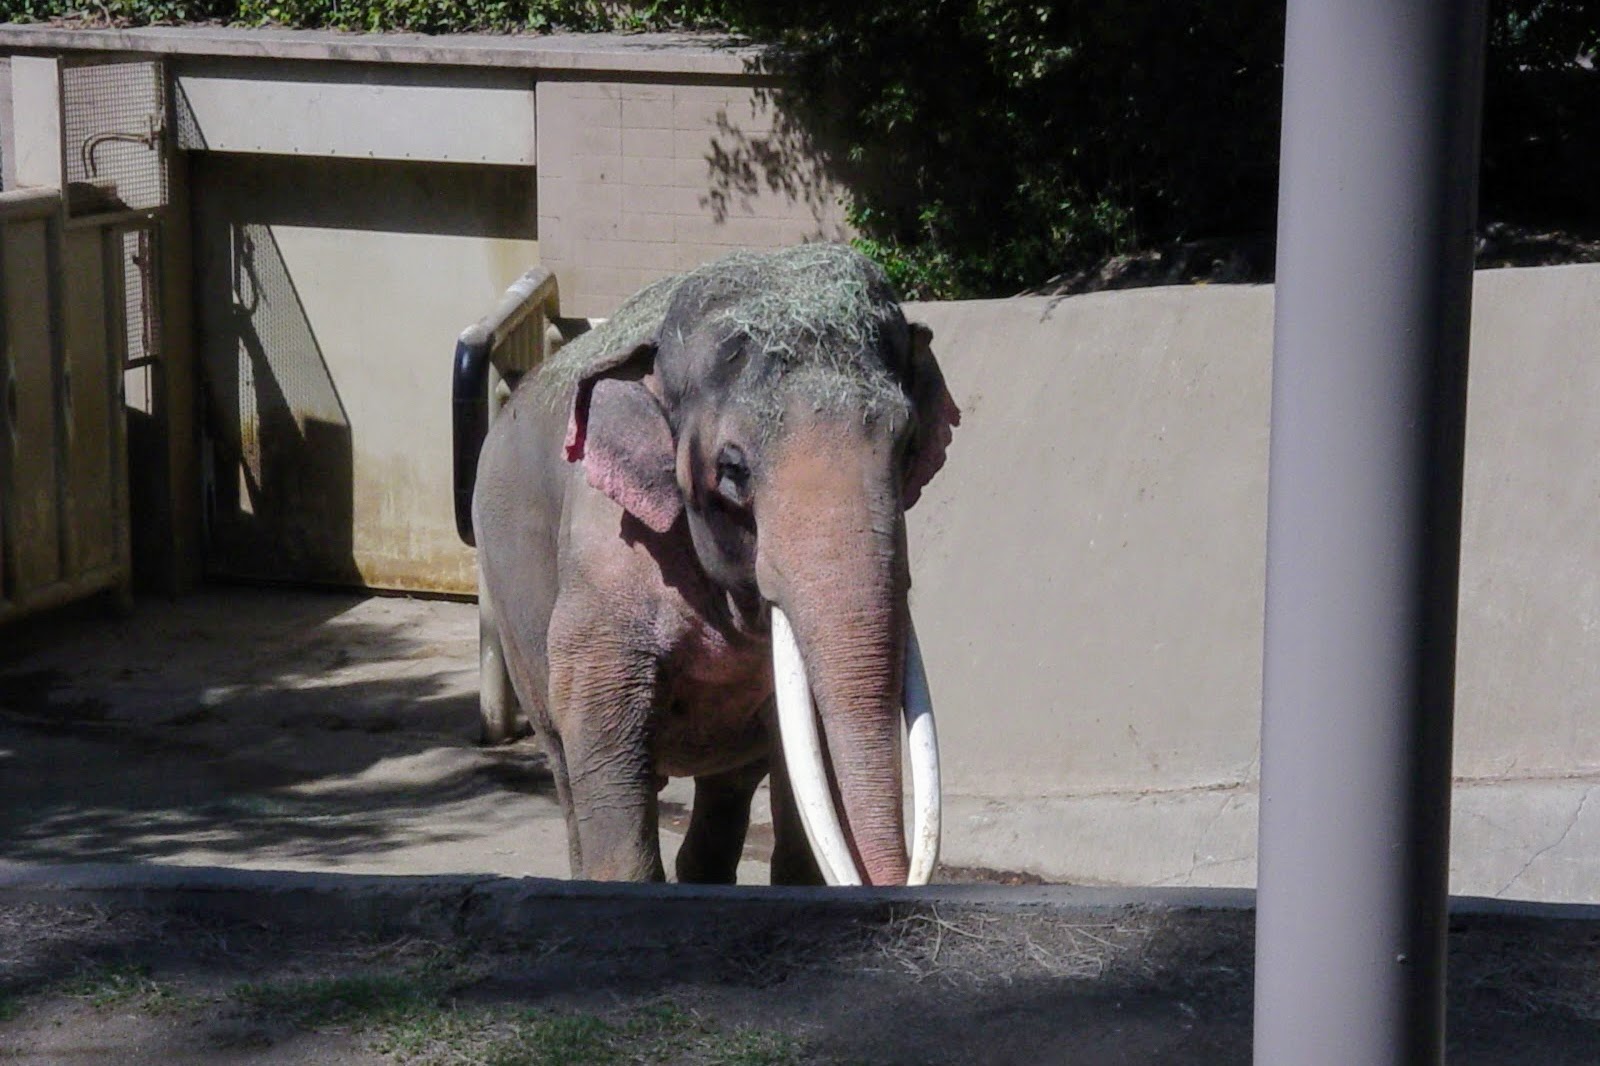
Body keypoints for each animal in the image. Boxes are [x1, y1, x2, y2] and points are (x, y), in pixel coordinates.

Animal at [467, 244, 959, 886]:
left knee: (728, 789)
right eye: (732, 470)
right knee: (566, 767)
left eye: (906, 447)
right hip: (511, 605)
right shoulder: (606, 556)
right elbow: (597, 716)